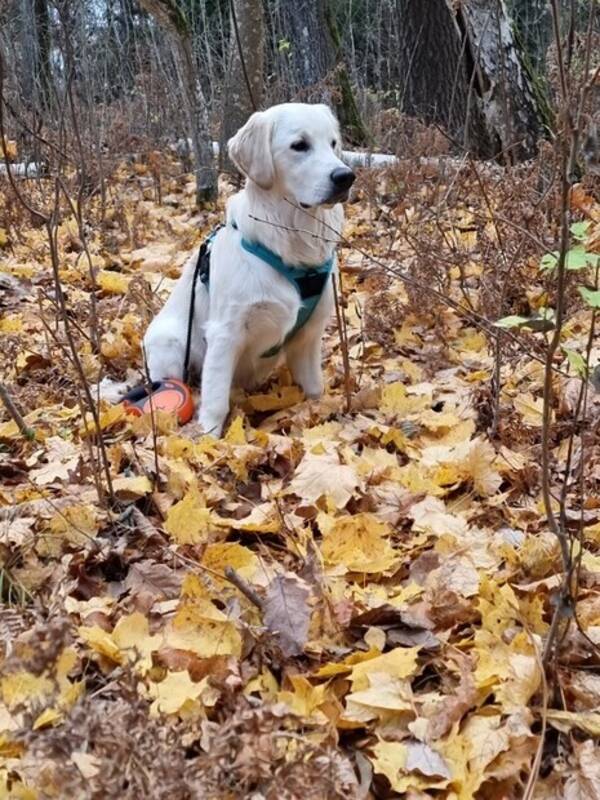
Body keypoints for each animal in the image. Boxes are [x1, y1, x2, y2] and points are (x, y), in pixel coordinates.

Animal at [142, 103, 354, 438]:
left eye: (333, 143)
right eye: (300, 145)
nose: (346, 177)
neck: (293, 241)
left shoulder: (309, 334)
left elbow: (314, 387)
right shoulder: (225, 332)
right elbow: (215, 399)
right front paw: (209, 439)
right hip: (169, 343)